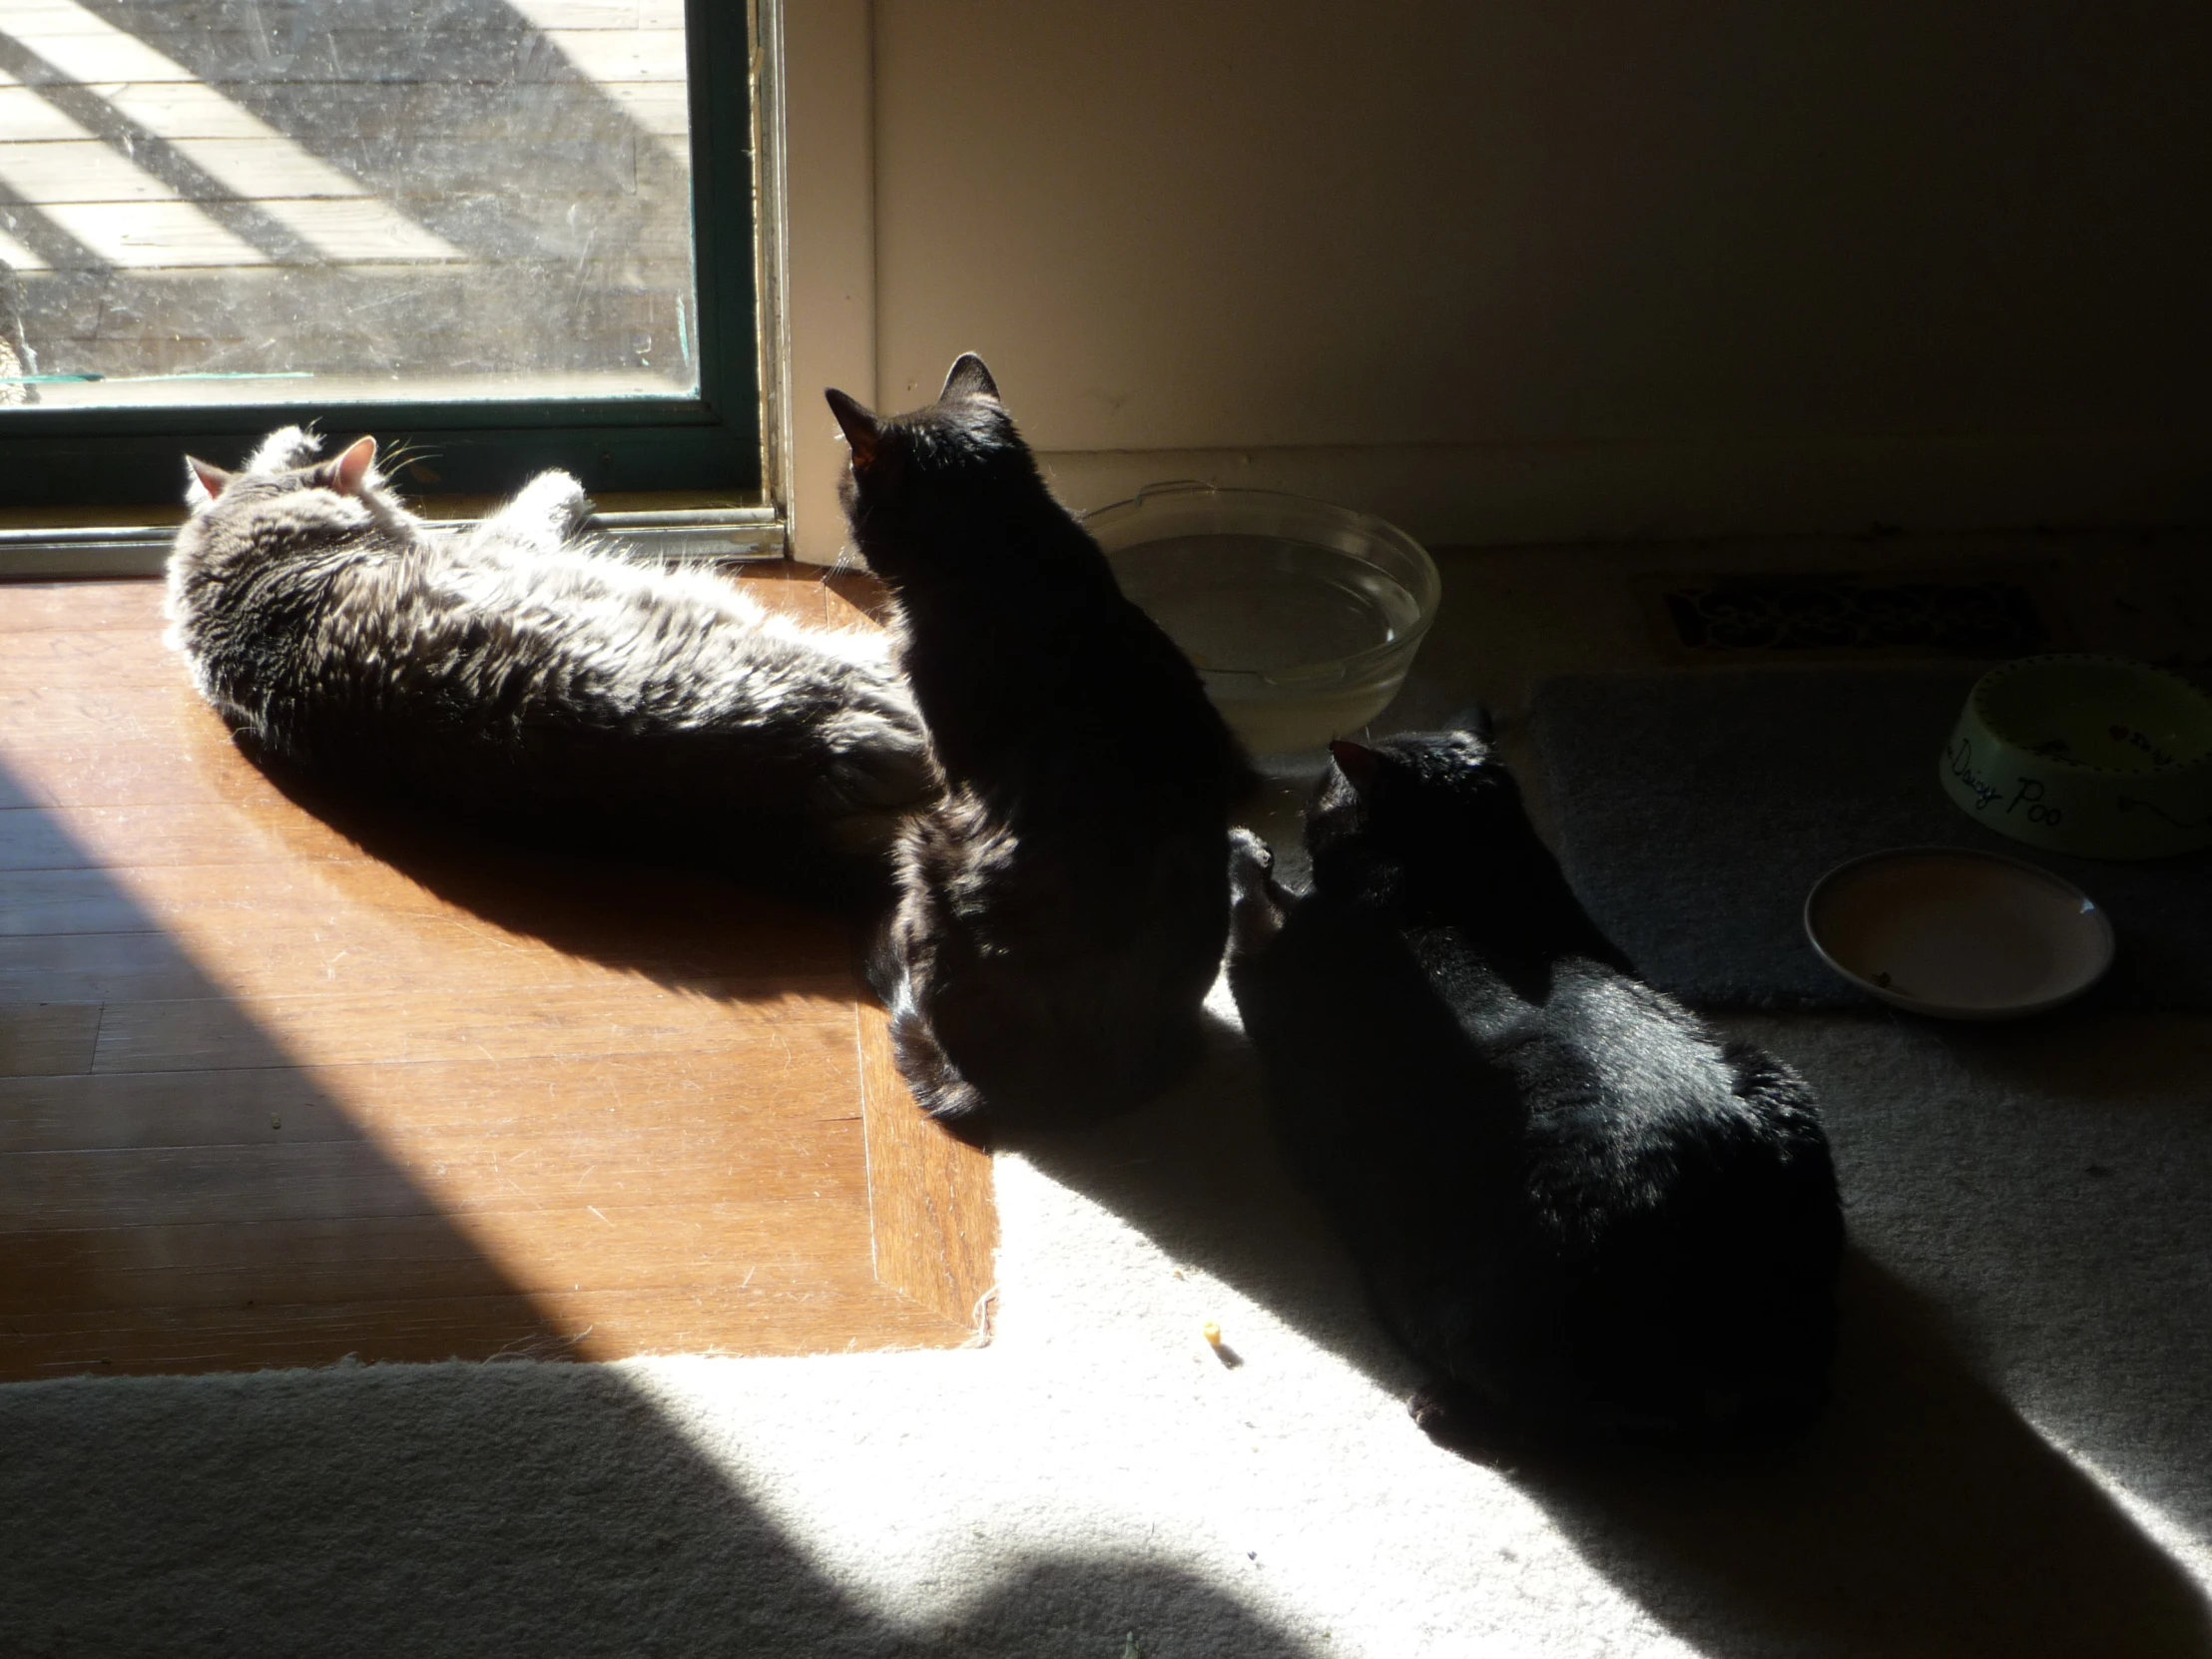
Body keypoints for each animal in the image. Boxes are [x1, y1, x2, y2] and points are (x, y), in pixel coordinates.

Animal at [1230, 725, 1849, 1441]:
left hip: (1454, 1294)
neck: (1464, 886)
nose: (1296, 824)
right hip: (1780, 1085)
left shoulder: (1274, 978)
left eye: (1317, 804)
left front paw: (1242, 846)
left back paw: (1444, 1405)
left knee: (1566, 1411)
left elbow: (1250, 909)